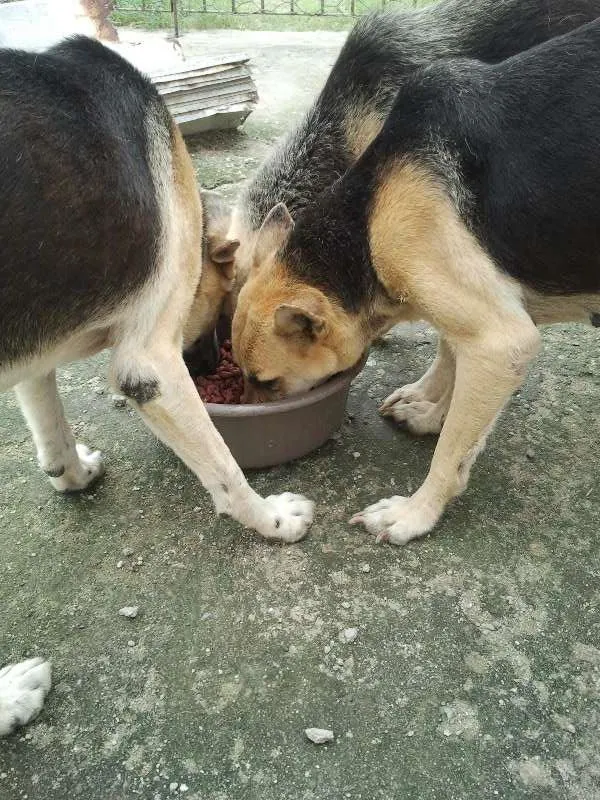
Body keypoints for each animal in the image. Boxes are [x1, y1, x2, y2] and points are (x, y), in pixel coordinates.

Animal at [1, 39, 314, 736]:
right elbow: (227, 472)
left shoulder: (33, 339)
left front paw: (72, 474)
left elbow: (50, 421)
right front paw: (273, 519)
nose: (211, 364)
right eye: (223, 308)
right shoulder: (152, 364)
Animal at [233, 20, 600, 544]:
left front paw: (415, 512)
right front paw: (431, 411)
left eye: (264, 381)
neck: (367, 219)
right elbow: (450, 356)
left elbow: (452, 451)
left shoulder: (501, 342)